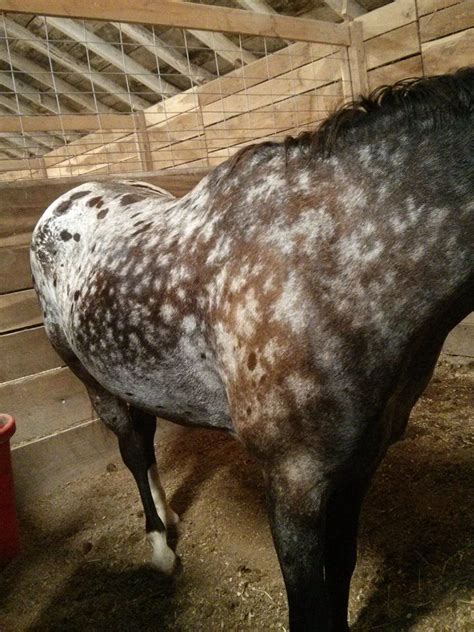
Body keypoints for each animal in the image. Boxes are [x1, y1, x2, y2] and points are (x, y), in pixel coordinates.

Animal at [31, 69, 472, 632]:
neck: (336, 262)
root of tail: (68, 198)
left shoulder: (360, 462)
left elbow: (342, 568)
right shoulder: (293, 478)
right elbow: (308, 603)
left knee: (145, 441)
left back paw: (169, 515)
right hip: (92, 380)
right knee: (132, 449)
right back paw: (160, 546)